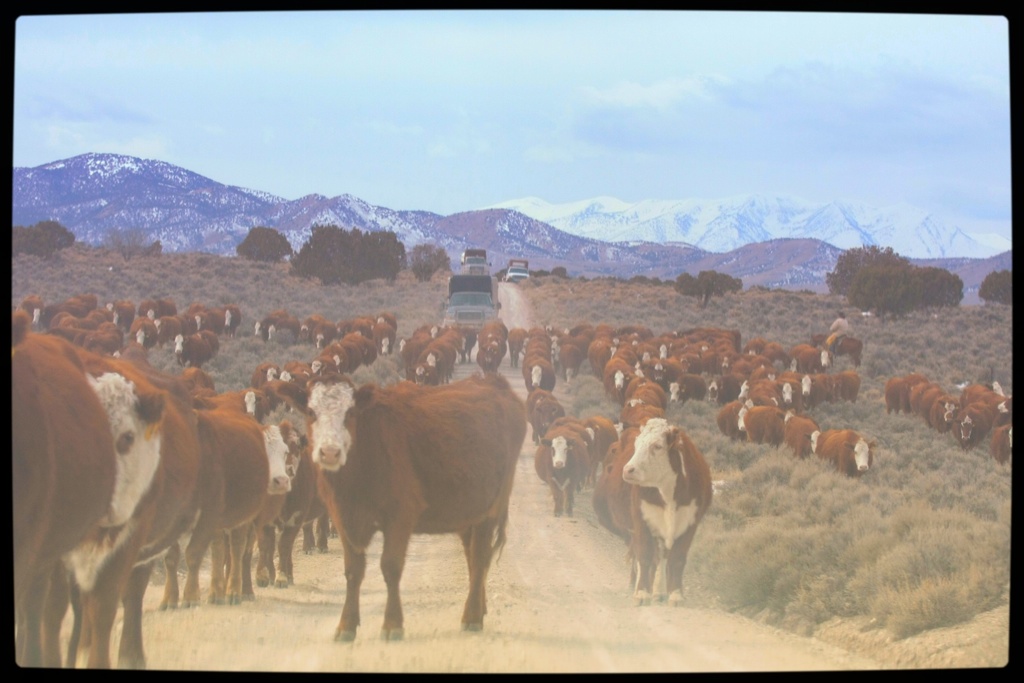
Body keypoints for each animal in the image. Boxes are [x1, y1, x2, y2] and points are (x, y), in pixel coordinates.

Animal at [304, 372, 527, 640]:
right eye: (310, 412)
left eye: (350, 412)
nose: (329, 452)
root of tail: (494, 382)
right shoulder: (342, 518)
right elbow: (353, 571)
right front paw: (346, 626)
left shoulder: (400, 516)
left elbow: (390, 567)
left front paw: (392, 625)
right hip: (468, 512)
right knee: (472, 558)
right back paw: (479, 609)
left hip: (490, 509)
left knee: (480, 557)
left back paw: (472, 617)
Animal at [621, 418, 713, 606]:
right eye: (636, 444)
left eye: (657, 446)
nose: (628, 470)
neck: (668, 491)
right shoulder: (642, 520)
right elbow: (644, 555)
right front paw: (642, 593)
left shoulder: (690, 525)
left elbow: (677, 559)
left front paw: (676, 594)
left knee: (663, 557)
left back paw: (660, 591)